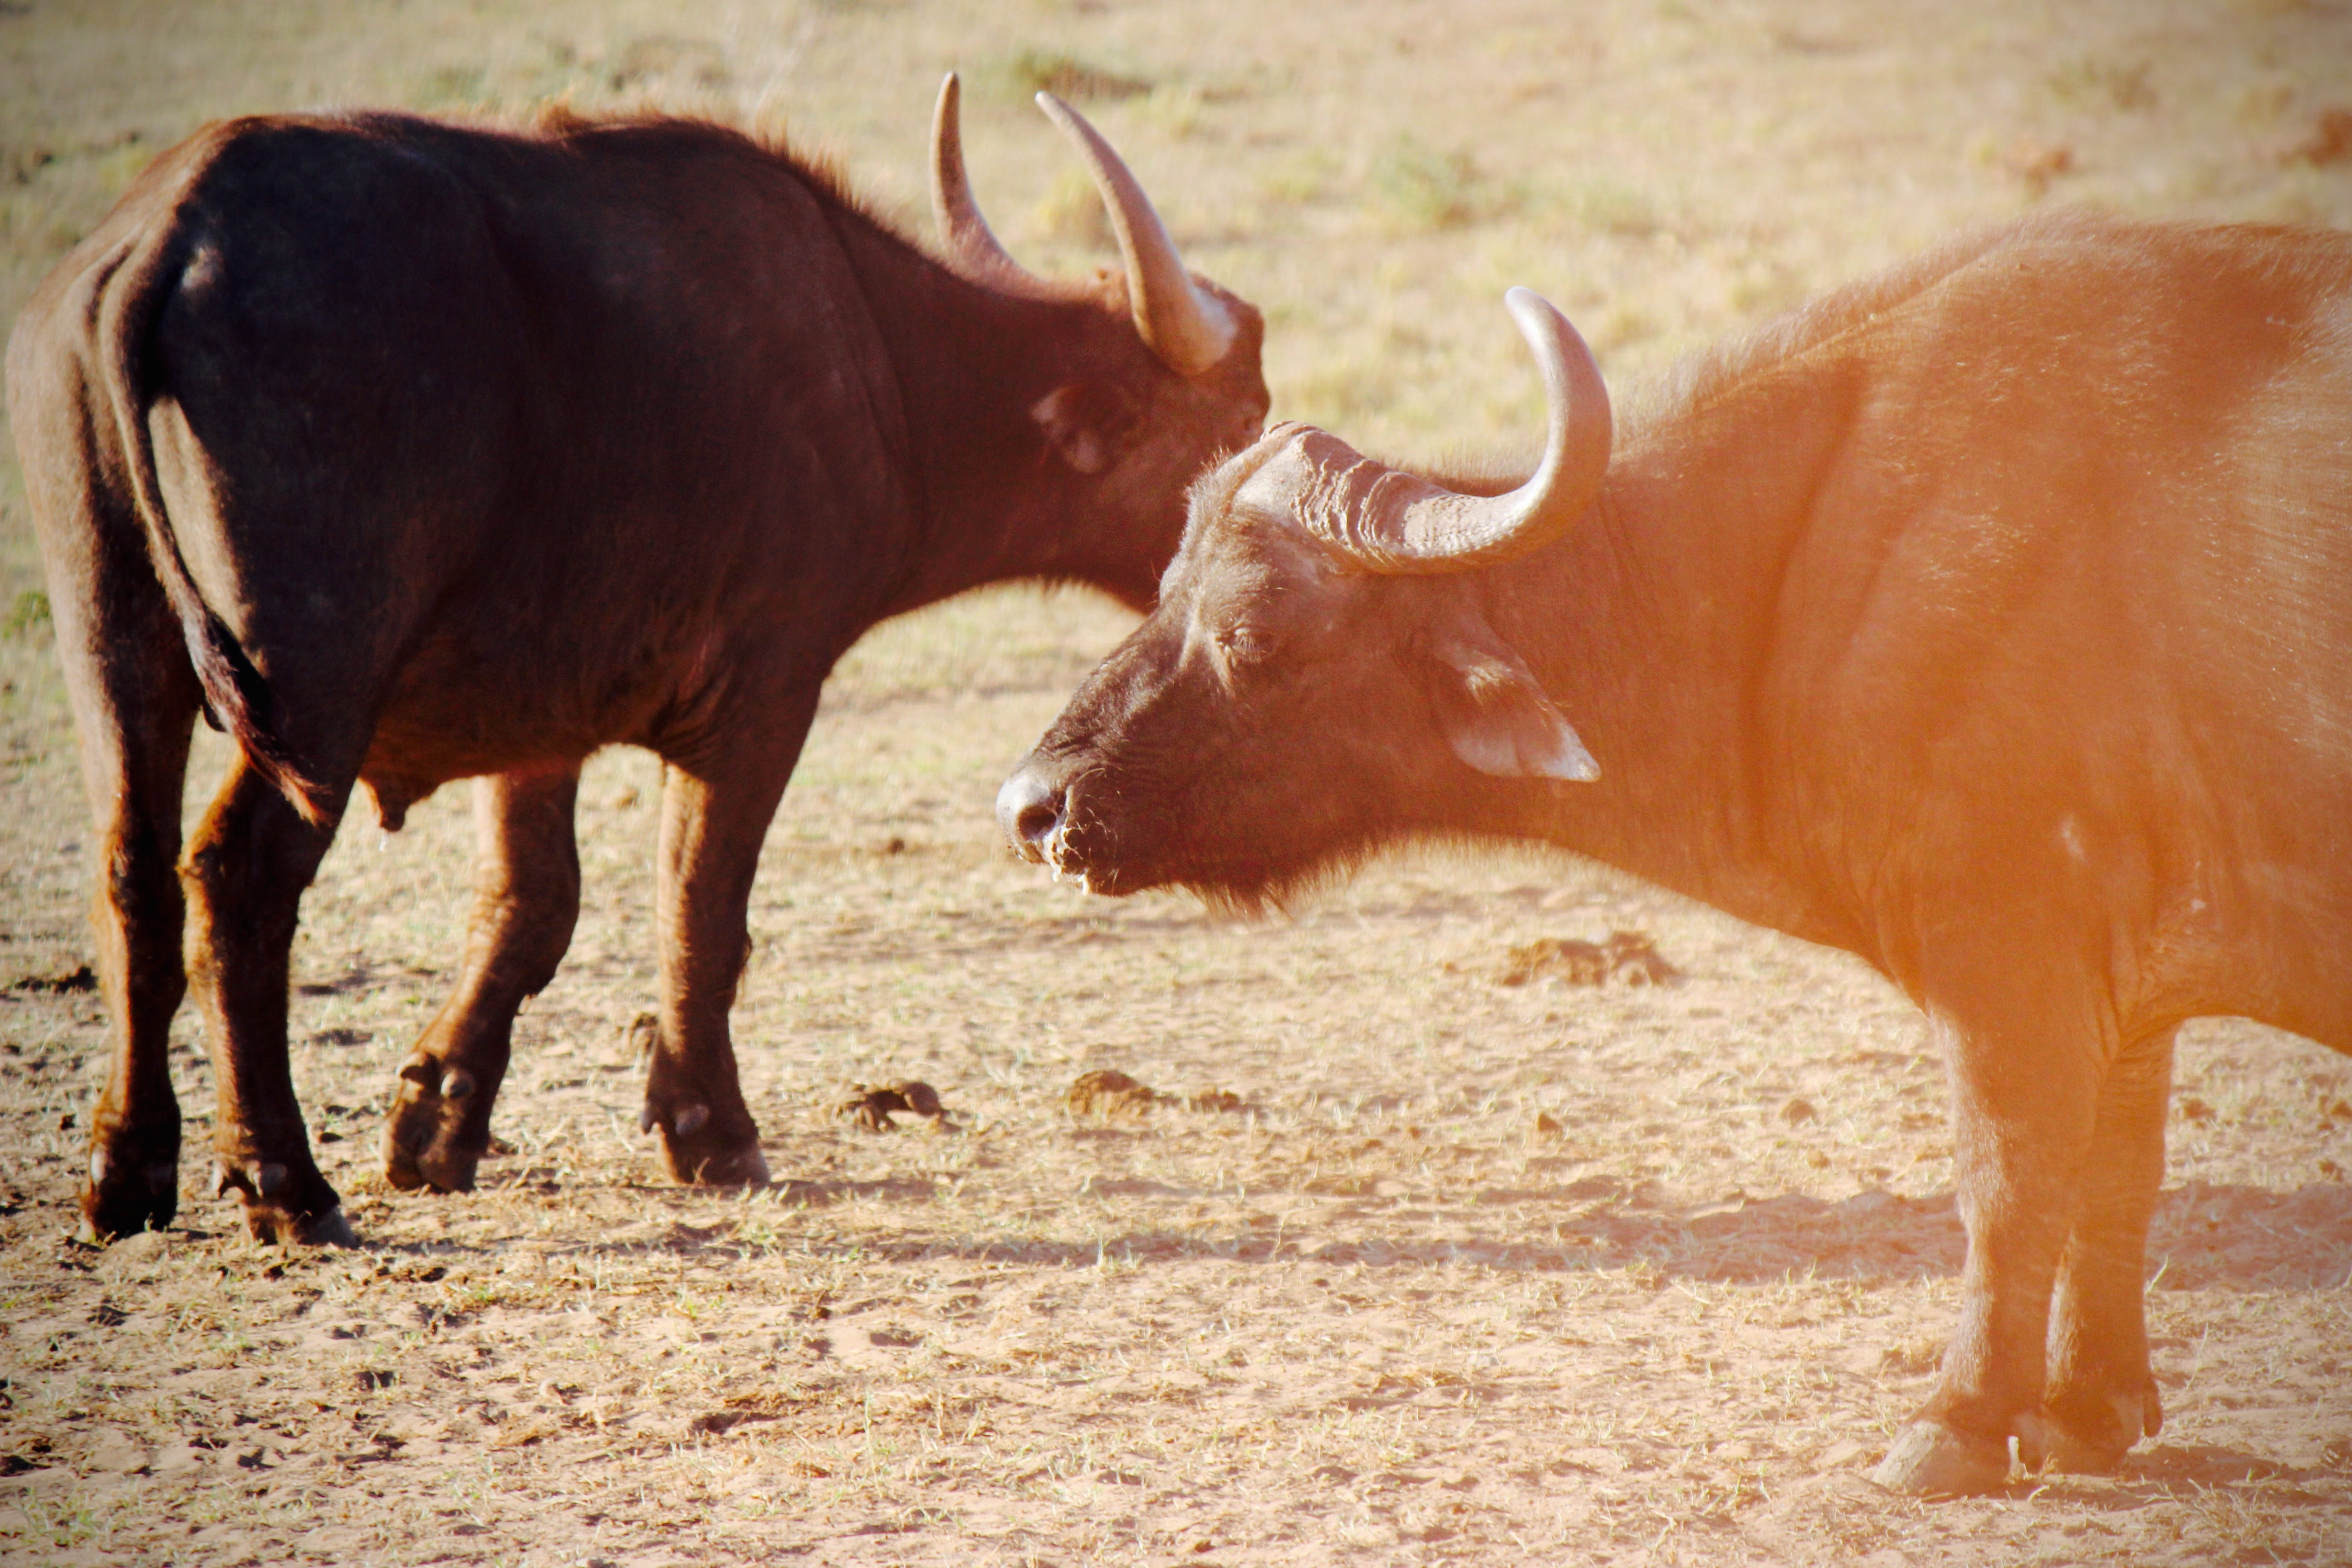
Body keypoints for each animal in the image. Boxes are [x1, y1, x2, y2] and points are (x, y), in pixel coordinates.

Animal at [5, 75, 1268, 1250]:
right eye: (1230, 420)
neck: (880, 366)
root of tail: (170, 235)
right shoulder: (764, 695)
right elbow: (701, 908)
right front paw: (711, 1129)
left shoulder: (535, 727)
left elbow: (530, 905)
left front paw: (438, 1123)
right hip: (313, 687)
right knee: (236, 879)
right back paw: (283, 1181)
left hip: (113, 648)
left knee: (130, 876)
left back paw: (128, 1170)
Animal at [994, 212, 2352, 1495]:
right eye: (1164, 582)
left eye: (1255, 627)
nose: (1033, 804)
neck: (1800, 566)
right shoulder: (2125, 996)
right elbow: (2114, 1181)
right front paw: (2084, 1411)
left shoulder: (2010, 961)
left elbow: (2010, 1186)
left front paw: (1956, 1421)